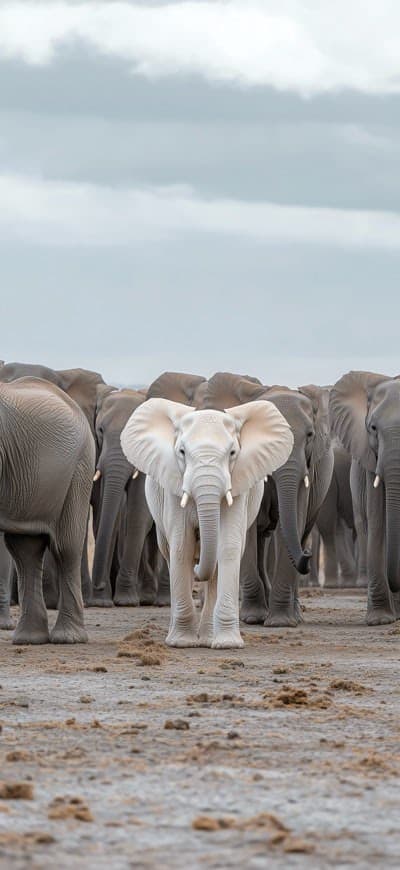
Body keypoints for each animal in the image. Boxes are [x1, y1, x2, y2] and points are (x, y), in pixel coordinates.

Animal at [90, 387, 155, 607]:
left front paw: (126, 601)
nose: (98, 585)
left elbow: (138, 513)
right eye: (101, 430)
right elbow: (108, 512)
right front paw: (101, 601)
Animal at [121, 397, 293, 648]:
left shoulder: (238, 484)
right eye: (182, 452)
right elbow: (182, 547)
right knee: (170, 551)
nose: (196, 568)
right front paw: (181, 643)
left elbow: (227, 547)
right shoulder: (174, 486)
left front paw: (228, 644)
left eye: (232, 452)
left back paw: (208, 638)